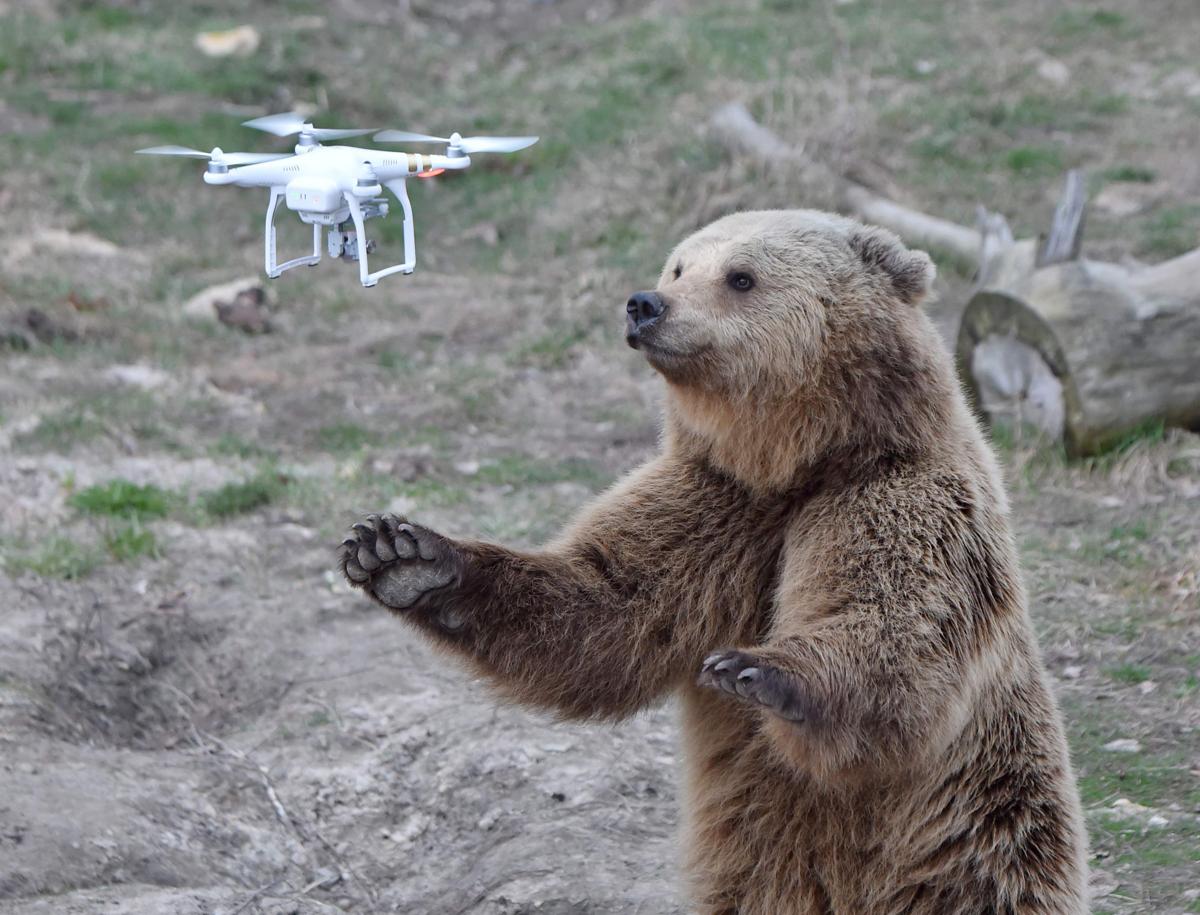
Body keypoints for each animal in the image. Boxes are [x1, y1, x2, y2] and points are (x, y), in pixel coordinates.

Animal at [338, 208, 1089, 912]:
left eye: (740, 276)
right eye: (678, 265)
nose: (644, 303)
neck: (793, 461)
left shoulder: (894, 498)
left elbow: (893, 624)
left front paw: (756, 669)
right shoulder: (716, 507)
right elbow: (608, 605)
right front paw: (400, 553)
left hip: (978, 832)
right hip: (762, 858)